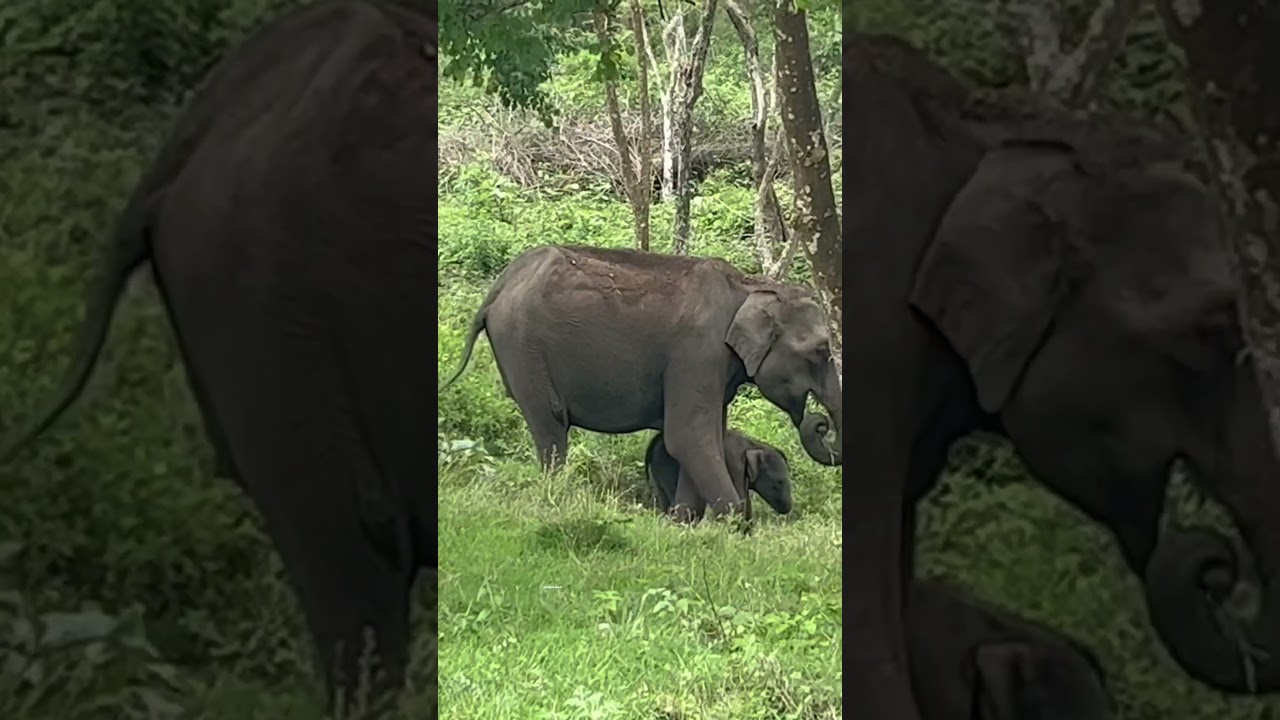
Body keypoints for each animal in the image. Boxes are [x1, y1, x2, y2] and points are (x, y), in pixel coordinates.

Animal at [645, 428, 793, 520]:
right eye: (779, 482)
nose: (787, 509)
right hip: (667, 466)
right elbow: (740, 499)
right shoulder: (734, 465)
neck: (753, 444)